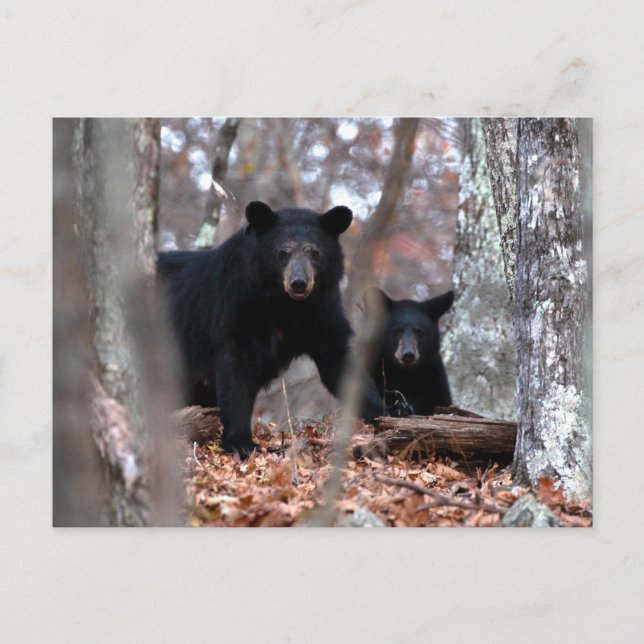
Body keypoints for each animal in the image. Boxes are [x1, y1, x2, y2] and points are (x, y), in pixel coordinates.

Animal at [158, 201, 355, 457]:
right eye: (283, 252)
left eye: (315, 253)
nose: (299, 283)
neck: (285, 304)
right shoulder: (237, 304)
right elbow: (236, 370)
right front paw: (239, 441)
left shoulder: (322, 309)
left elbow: (337, 358)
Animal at [366, 288, 454, 418]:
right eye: (398, 330)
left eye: (419, 332)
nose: (408, 355)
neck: (405, 373)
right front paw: (397, 408)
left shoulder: (434, 374)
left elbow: (438, 399)